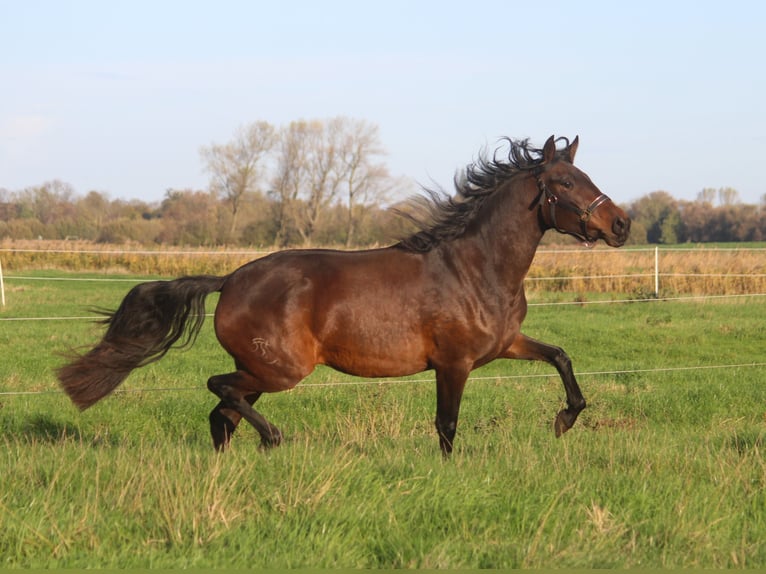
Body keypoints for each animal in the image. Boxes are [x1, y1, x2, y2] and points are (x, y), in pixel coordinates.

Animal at [58, 135, 632, 454]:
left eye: (586, 175)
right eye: (565, 182)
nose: (622, 224)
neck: (476, 268)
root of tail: (231, 279)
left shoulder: (504, 345)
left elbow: (561, 357)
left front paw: (563, 420)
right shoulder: (454, 363)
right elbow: (447, 425)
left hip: (262, 371)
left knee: (222, 413)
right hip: (280, 371)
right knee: (218, 390)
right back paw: (274, 439)